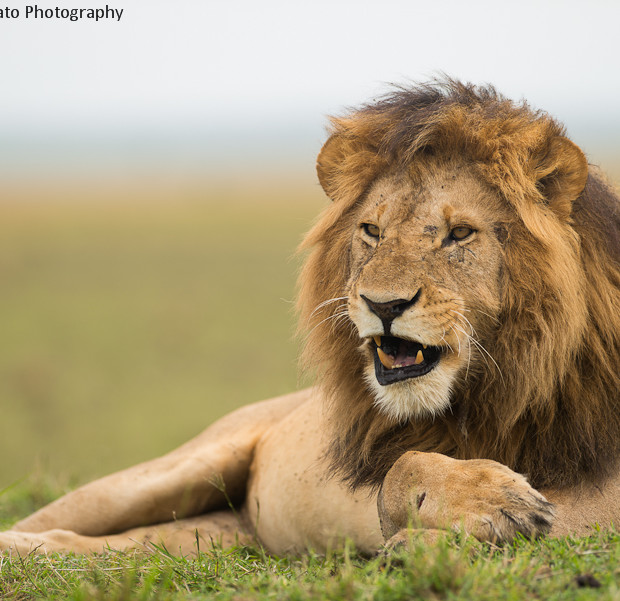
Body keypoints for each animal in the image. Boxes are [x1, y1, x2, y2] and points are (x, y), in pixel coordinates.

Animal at [1, 78, 620, 552]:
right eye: (371, 231)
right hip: (169, 471)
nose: (384, 305)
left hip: (212, 534)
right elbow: (399, 469)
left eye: (460, 234)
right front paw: (490, 503)